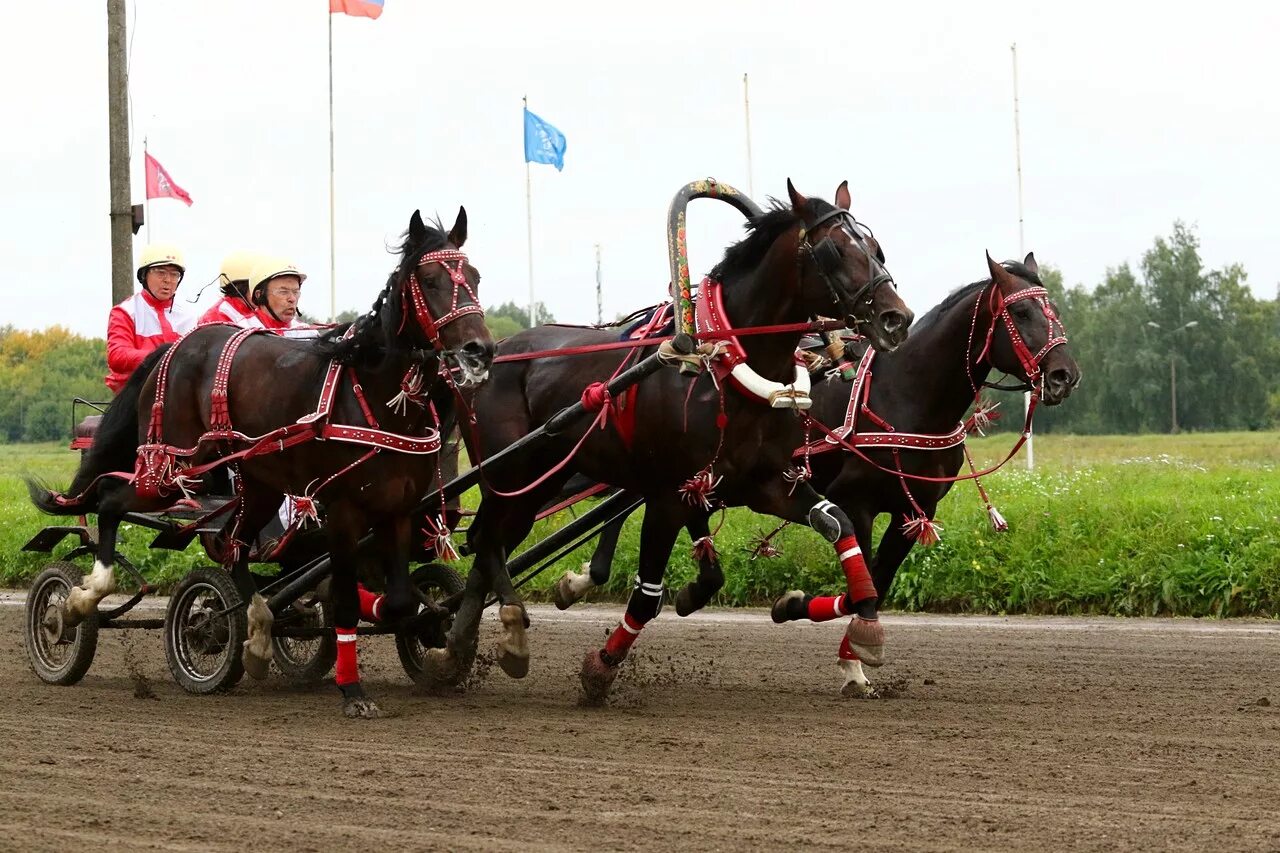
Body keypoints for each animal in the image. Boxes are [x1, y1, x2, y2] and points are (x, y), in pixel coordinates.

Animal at [30, 207, 491, 717]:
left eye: (474, 276)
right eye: (429, 280)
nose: (479, 351)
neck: (373, 396)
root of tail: (177, 348)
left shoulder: (401, 509)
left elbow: (401, 601)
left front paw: (429, 634)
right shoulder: (343, 510)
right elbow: (346, 600)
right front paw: (352, 689)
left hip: (259, 484)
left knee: (234, 546)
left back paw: (257, 630)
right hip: (174, 468)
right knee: (111, 500)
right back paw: (80, 599)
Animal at [435, 179, 916, 696]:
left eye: (875, 247)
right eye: (834, 250)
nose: (896, 318)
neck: (723, 366)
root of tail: (489, 357)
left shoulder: (765, 482)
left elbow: (838, 523)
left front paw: (865, 626)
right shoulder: (668, 494)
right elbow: (648, 595)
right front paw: (600, 667)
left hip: (538, 480)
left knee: (489, 547)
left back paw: (454, 648)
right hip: (510, 472)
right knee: (486, 539)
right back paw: (486, 634)